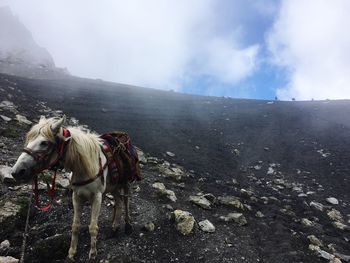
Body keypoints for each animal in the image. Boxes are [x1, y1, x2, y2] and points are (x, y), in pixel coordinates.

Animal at [11, 117, 137, 262]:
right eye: (29, 139)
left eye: (44, 143)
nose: (17, 172)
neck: (84, 167)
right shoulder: (76, 196)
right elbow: (75, 226)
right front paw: (71, 254)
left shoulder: (97, 197)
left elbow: (93, 227)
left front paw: (93, 254)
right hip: (114, 186)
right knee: (119, 202)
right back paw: (114, 228)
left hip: (126, 184)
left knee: (126, 203)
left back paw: (128, 226)